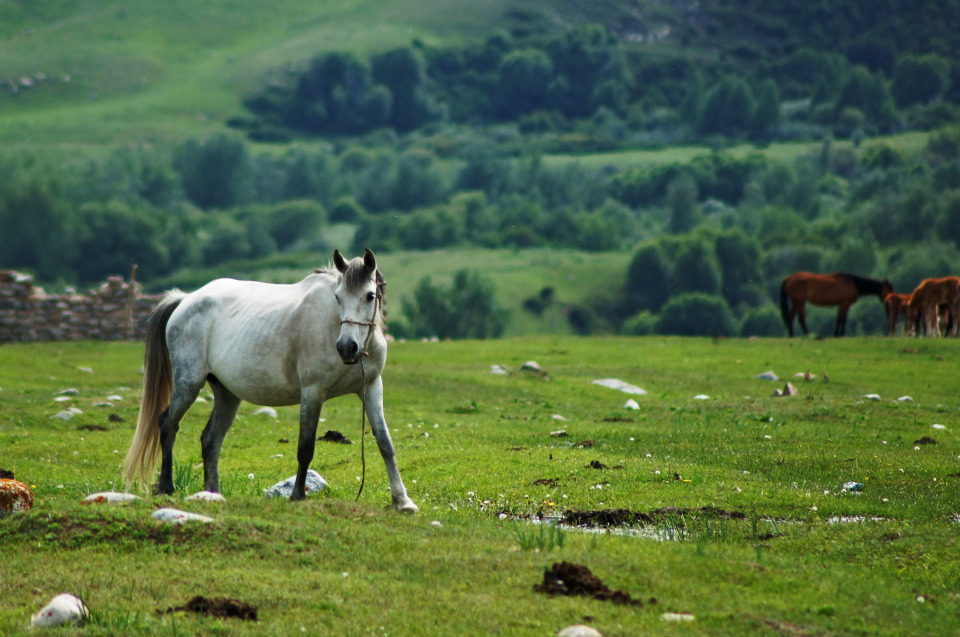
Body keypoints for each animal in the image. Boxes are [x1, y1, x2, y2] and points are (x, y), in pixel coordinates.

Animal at [123, 248, 416, 512]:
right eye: (337, 297)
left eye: (369, 296)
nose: (347, 348)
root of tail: (186, 299)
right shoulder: (313, 392)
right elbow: (305, 447)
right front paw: (298, 495)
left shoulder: (371, 388)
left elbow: (385, 443)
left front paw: (403, 501)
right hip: (188, 384)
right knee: (167, 424)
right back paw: (166, 486)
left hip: (227, 394)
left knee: (210, 440)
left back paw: (212, 493)